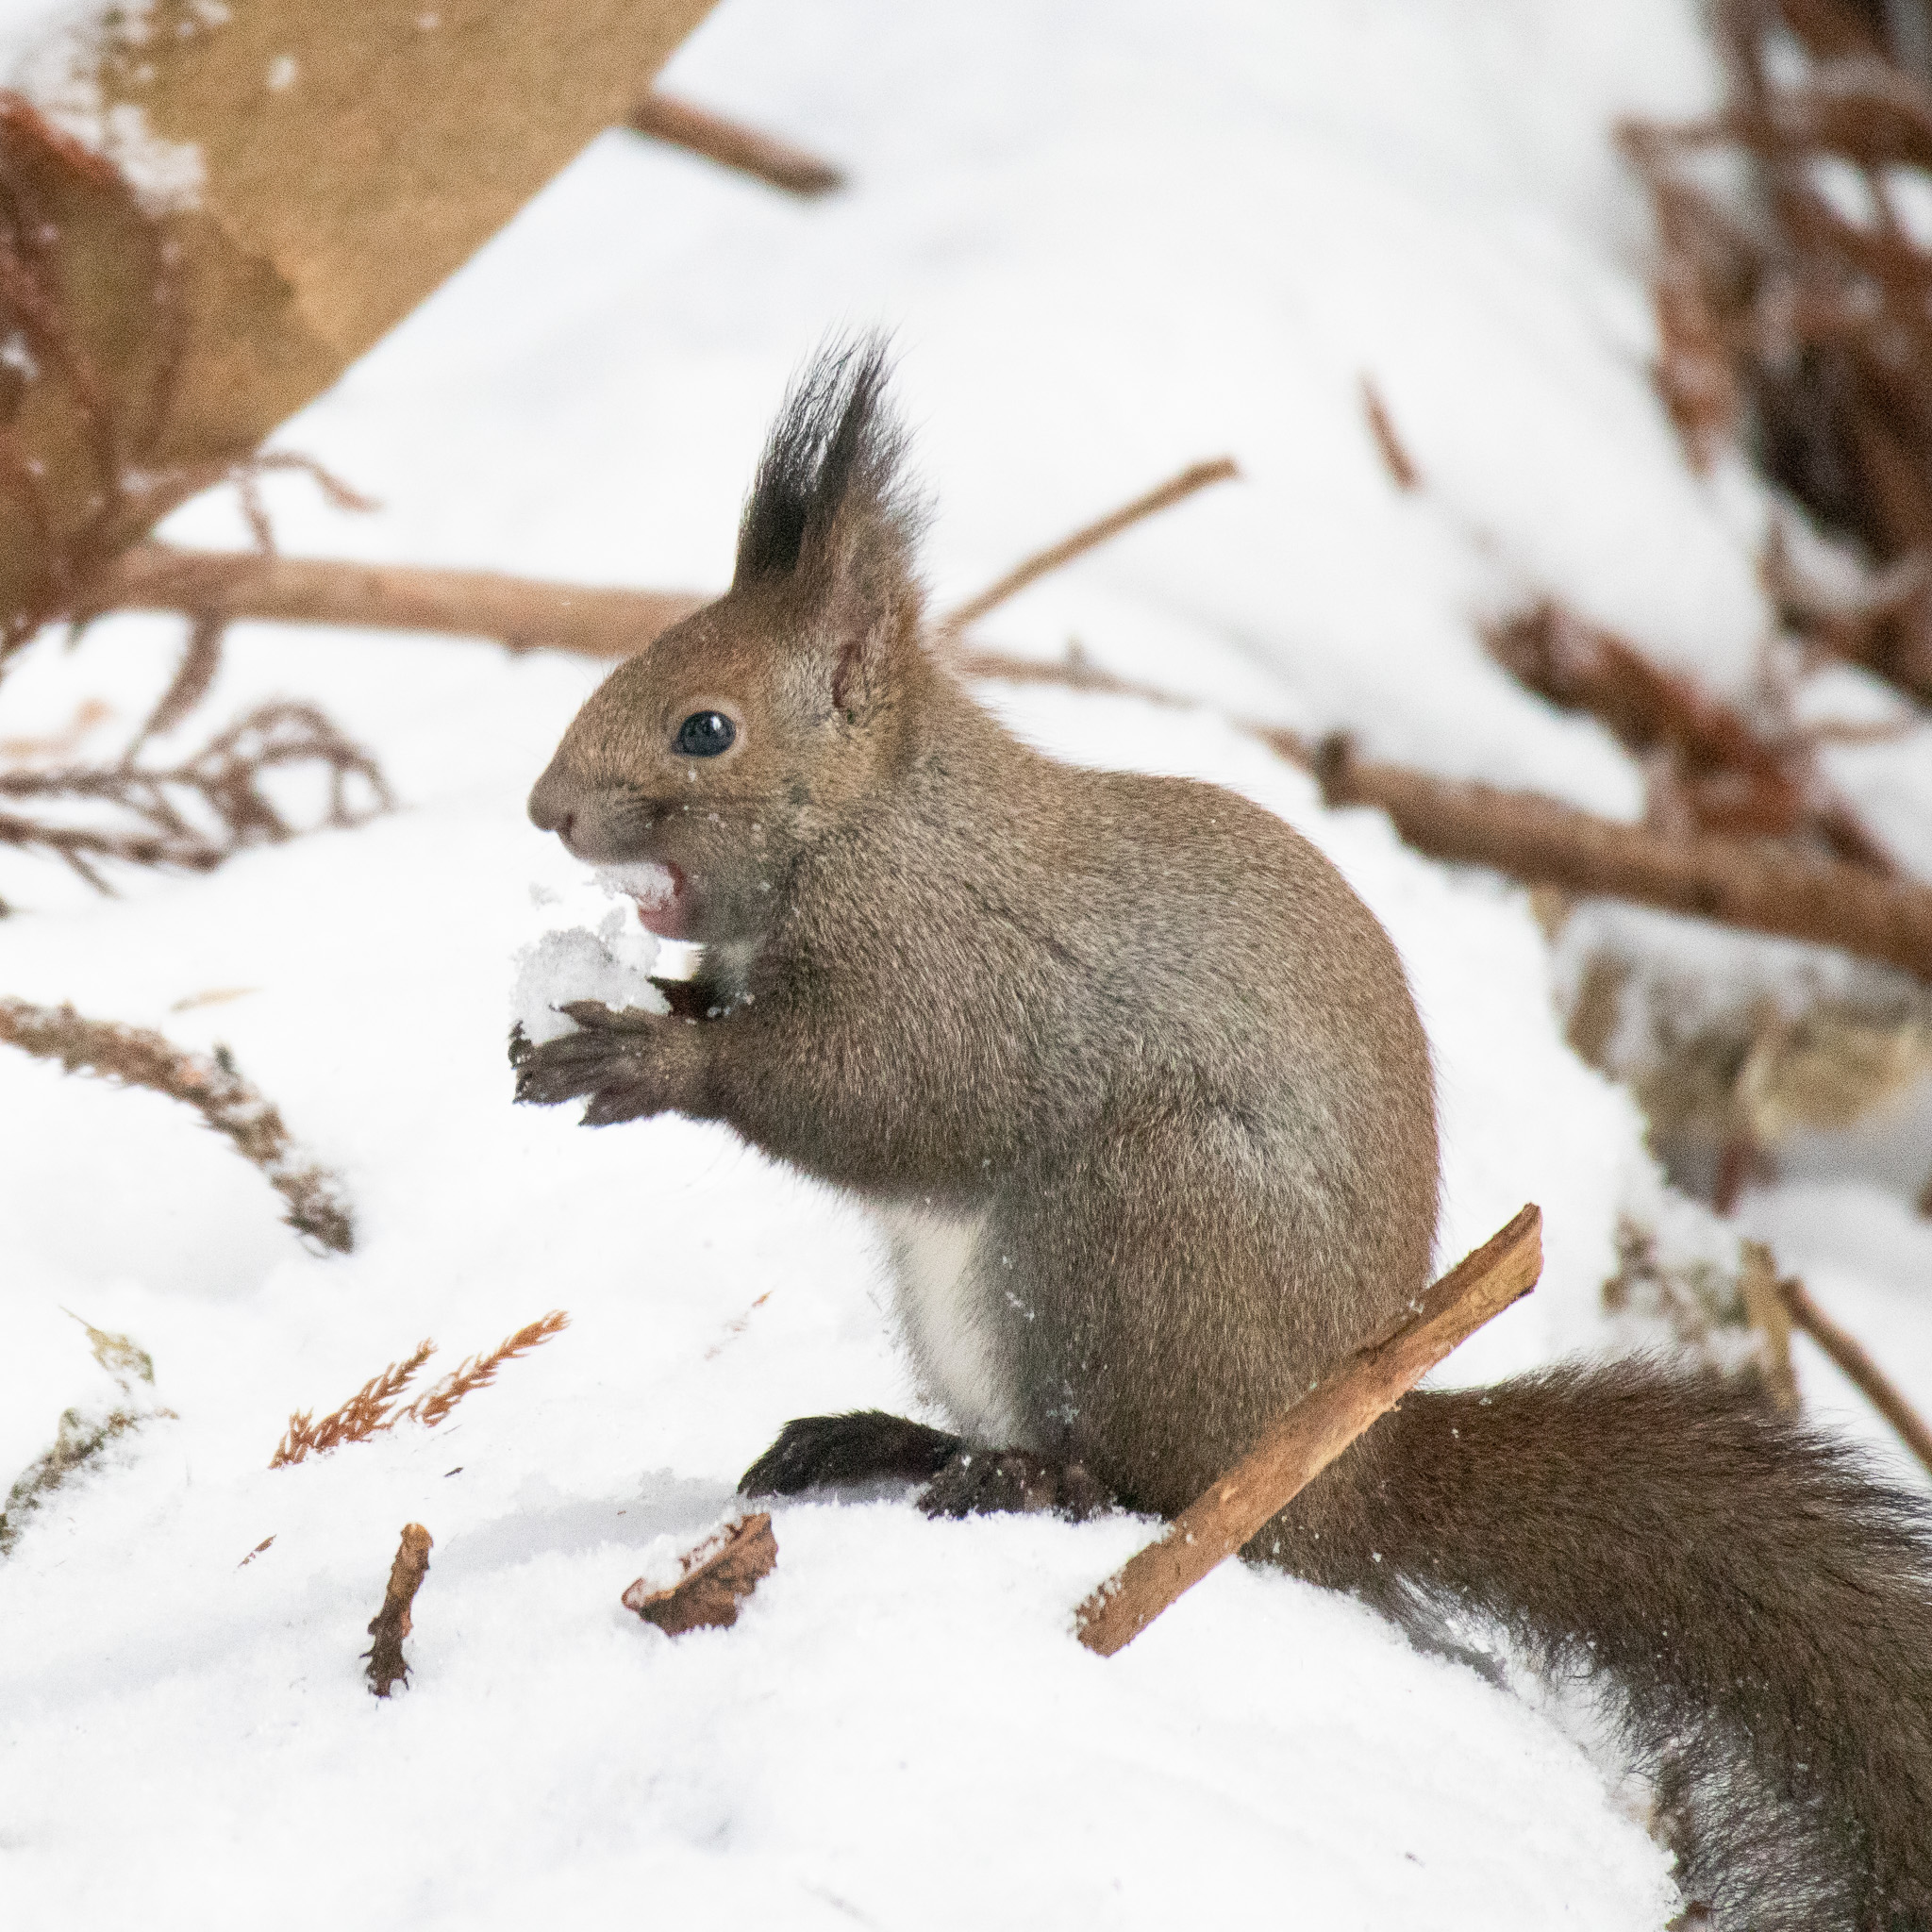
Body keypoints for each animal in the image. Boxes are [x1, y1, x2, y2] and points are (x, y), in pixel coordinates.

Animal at [513, 340, 1932, 1924]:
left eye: (707, 727)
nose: (547, 808)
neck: (881, 822)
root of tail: (1348, 1478)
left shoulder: (957, 973)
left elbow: (879, 1092)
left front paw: (649, 1056)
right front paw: (626, 1001)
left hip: (1142, 1231)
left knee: (1151, 1483)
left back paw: (1037, 1478)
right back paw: (879, 1440)